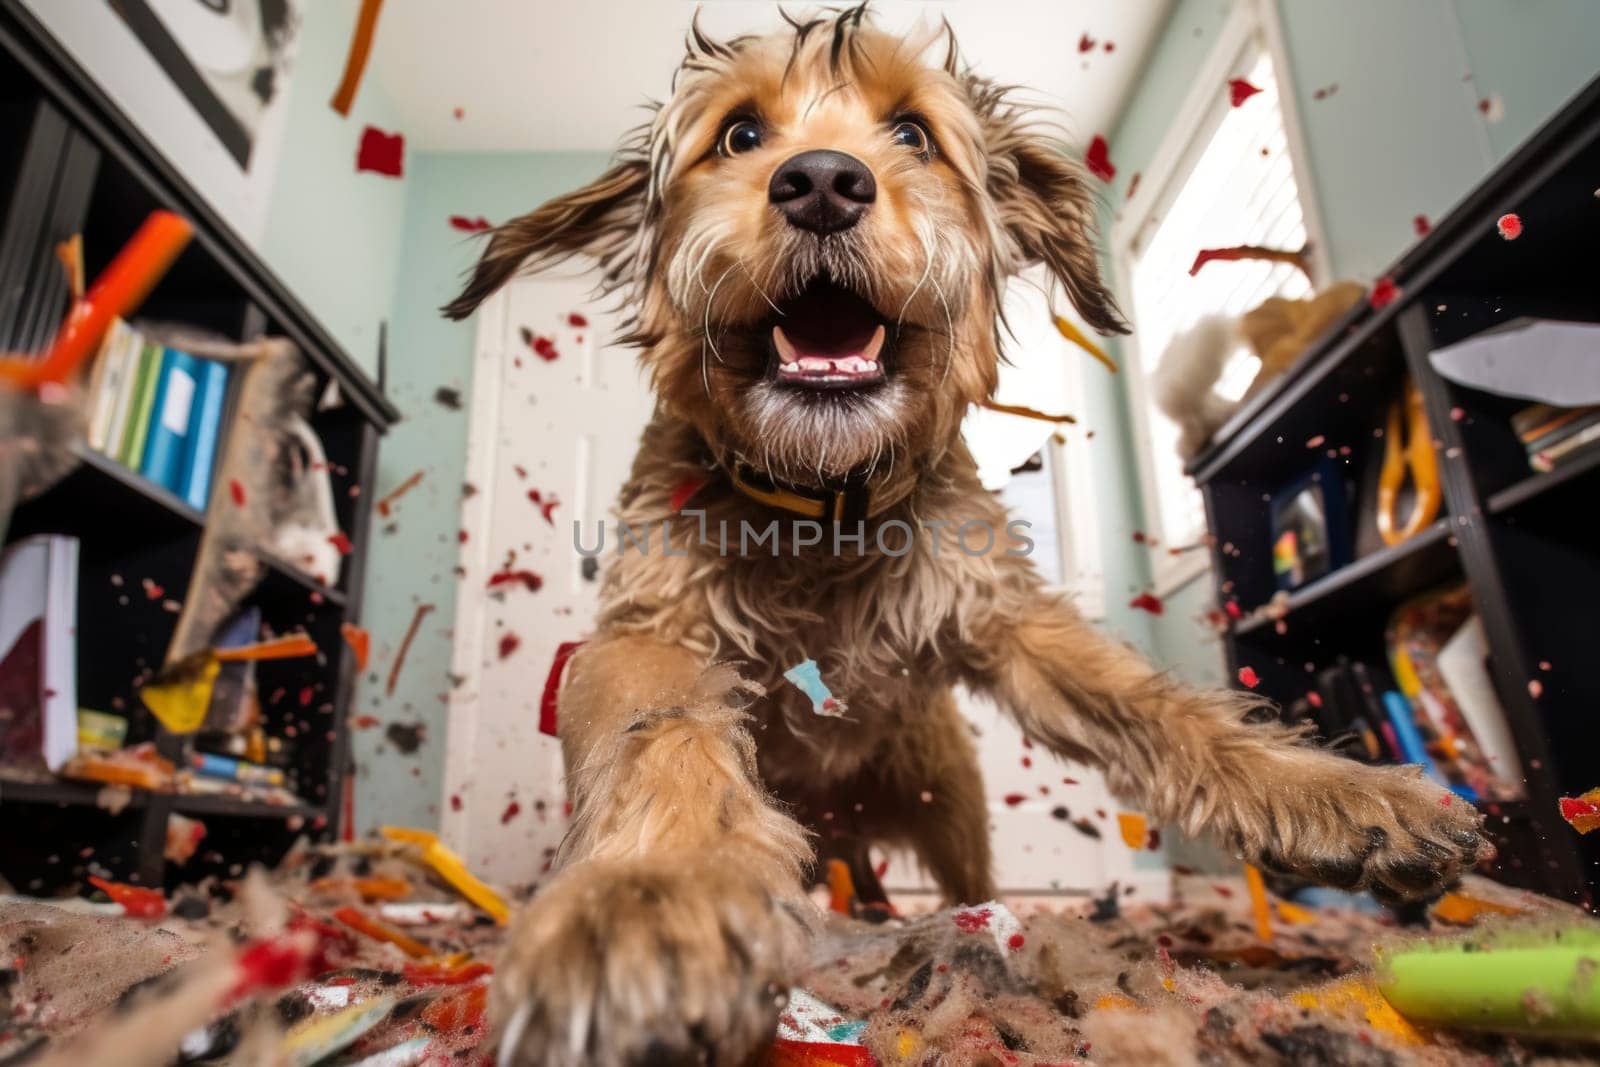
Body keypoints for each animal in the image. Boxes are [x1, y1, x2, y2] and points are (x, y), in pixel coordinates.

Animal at [441, 10, 1484, 1067]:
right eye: (739, 135)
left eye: (911, 133)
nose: (823, 181)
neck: (822, 509)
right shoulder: (650, 633)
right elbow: (658, 735)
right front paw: (648, 900)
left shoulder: (1006, 618)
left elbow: (1161, 708)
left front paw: (1335, 792)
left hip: (953, 812)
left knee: (972, 886)